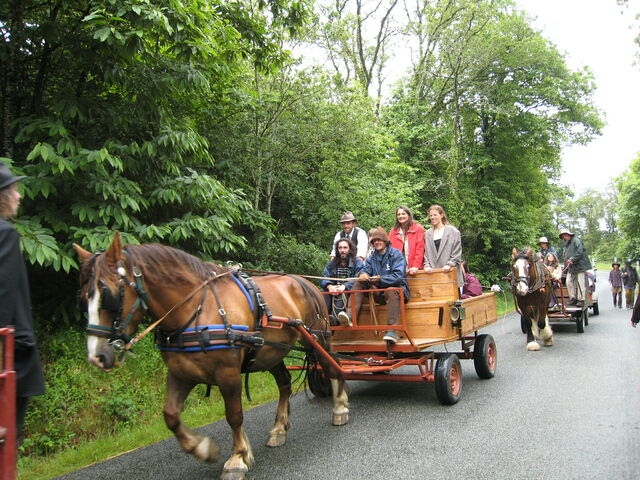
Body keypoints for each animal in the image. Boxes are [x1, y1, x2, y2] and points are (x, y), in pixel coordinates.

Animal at [73, 233, 349, 480]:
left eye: (109, 295)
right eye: (84, 297)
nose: (97, 356)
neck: (194, 309)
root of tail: (304, 282)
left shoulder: (228, 373)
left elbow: (234, 415)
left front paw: (237, 458)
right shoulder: (181, 373)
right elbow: (171, 416)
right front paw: (203, 449)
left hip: (318, 337)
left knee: (333, 366)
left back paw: (340, 406)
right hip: (270, 351)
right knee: (284, 384)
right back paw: (279, 429)